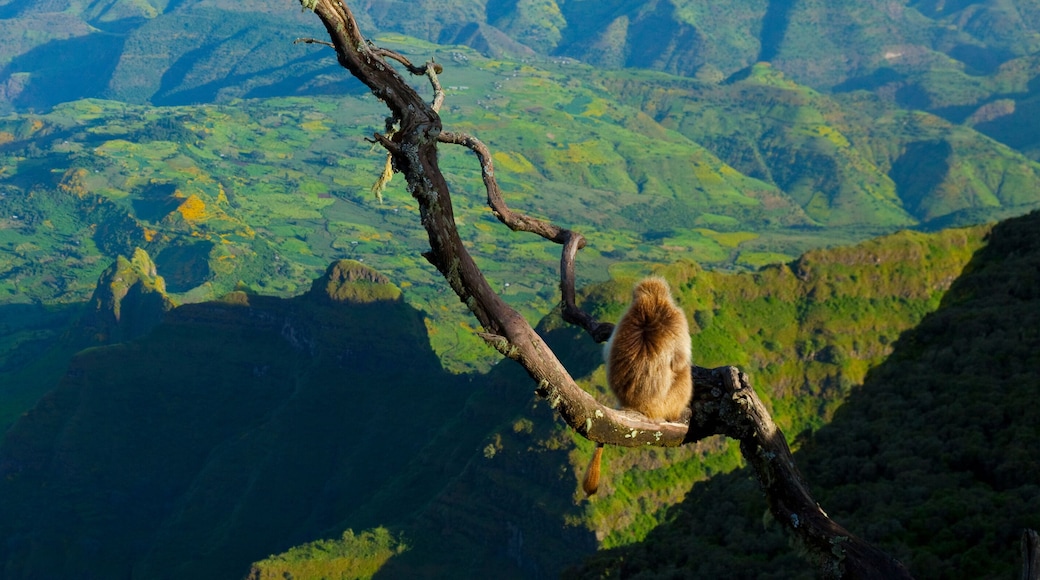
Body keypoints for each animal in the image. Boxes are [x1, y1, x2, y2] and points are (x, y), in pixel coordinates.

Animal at [583, 276, 693, 496]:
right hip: (667, 403)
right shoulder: (678, 317)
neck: (652, 304)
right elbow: (680, 361)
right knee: (683, 373)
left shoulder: (626, 314)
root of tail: (633, 405)